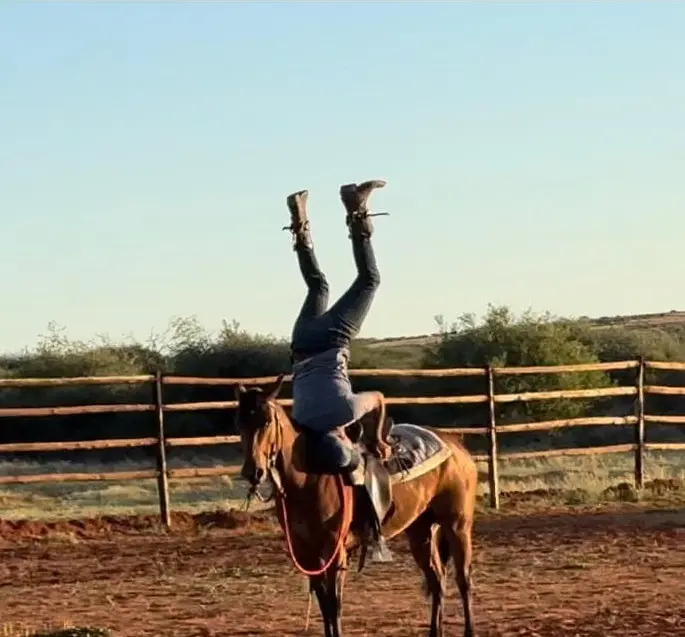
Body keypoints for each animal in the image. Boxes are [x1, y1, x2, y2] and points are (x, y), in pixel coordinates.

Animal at [234, 375, 478, 637]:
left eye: (267, 421)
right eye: (239, 423)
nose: (253, 471)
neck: (309, 475)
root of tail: (456, 446)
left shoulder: (334, 550)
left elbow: (334, 605)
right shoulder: (305, 552)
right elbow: (324, 604)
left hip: (457, 526)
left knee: (463, 580)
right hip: (420, 531)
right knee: (437, 580)